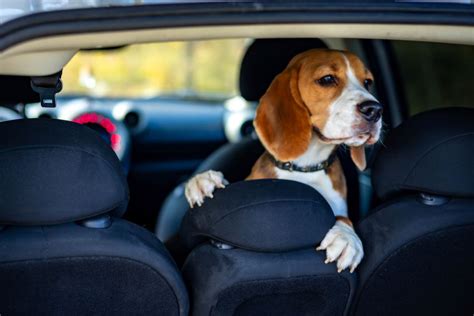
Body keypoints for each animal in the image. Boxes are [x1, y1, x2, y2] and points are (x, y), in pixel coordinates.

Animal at [184, 48, 382, 272]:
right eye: (327, 79)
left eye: (367, 82)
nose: (374, 110)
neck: (304, 167)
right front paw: (203, 180)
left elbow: (342, 216)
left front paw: (346, 237)